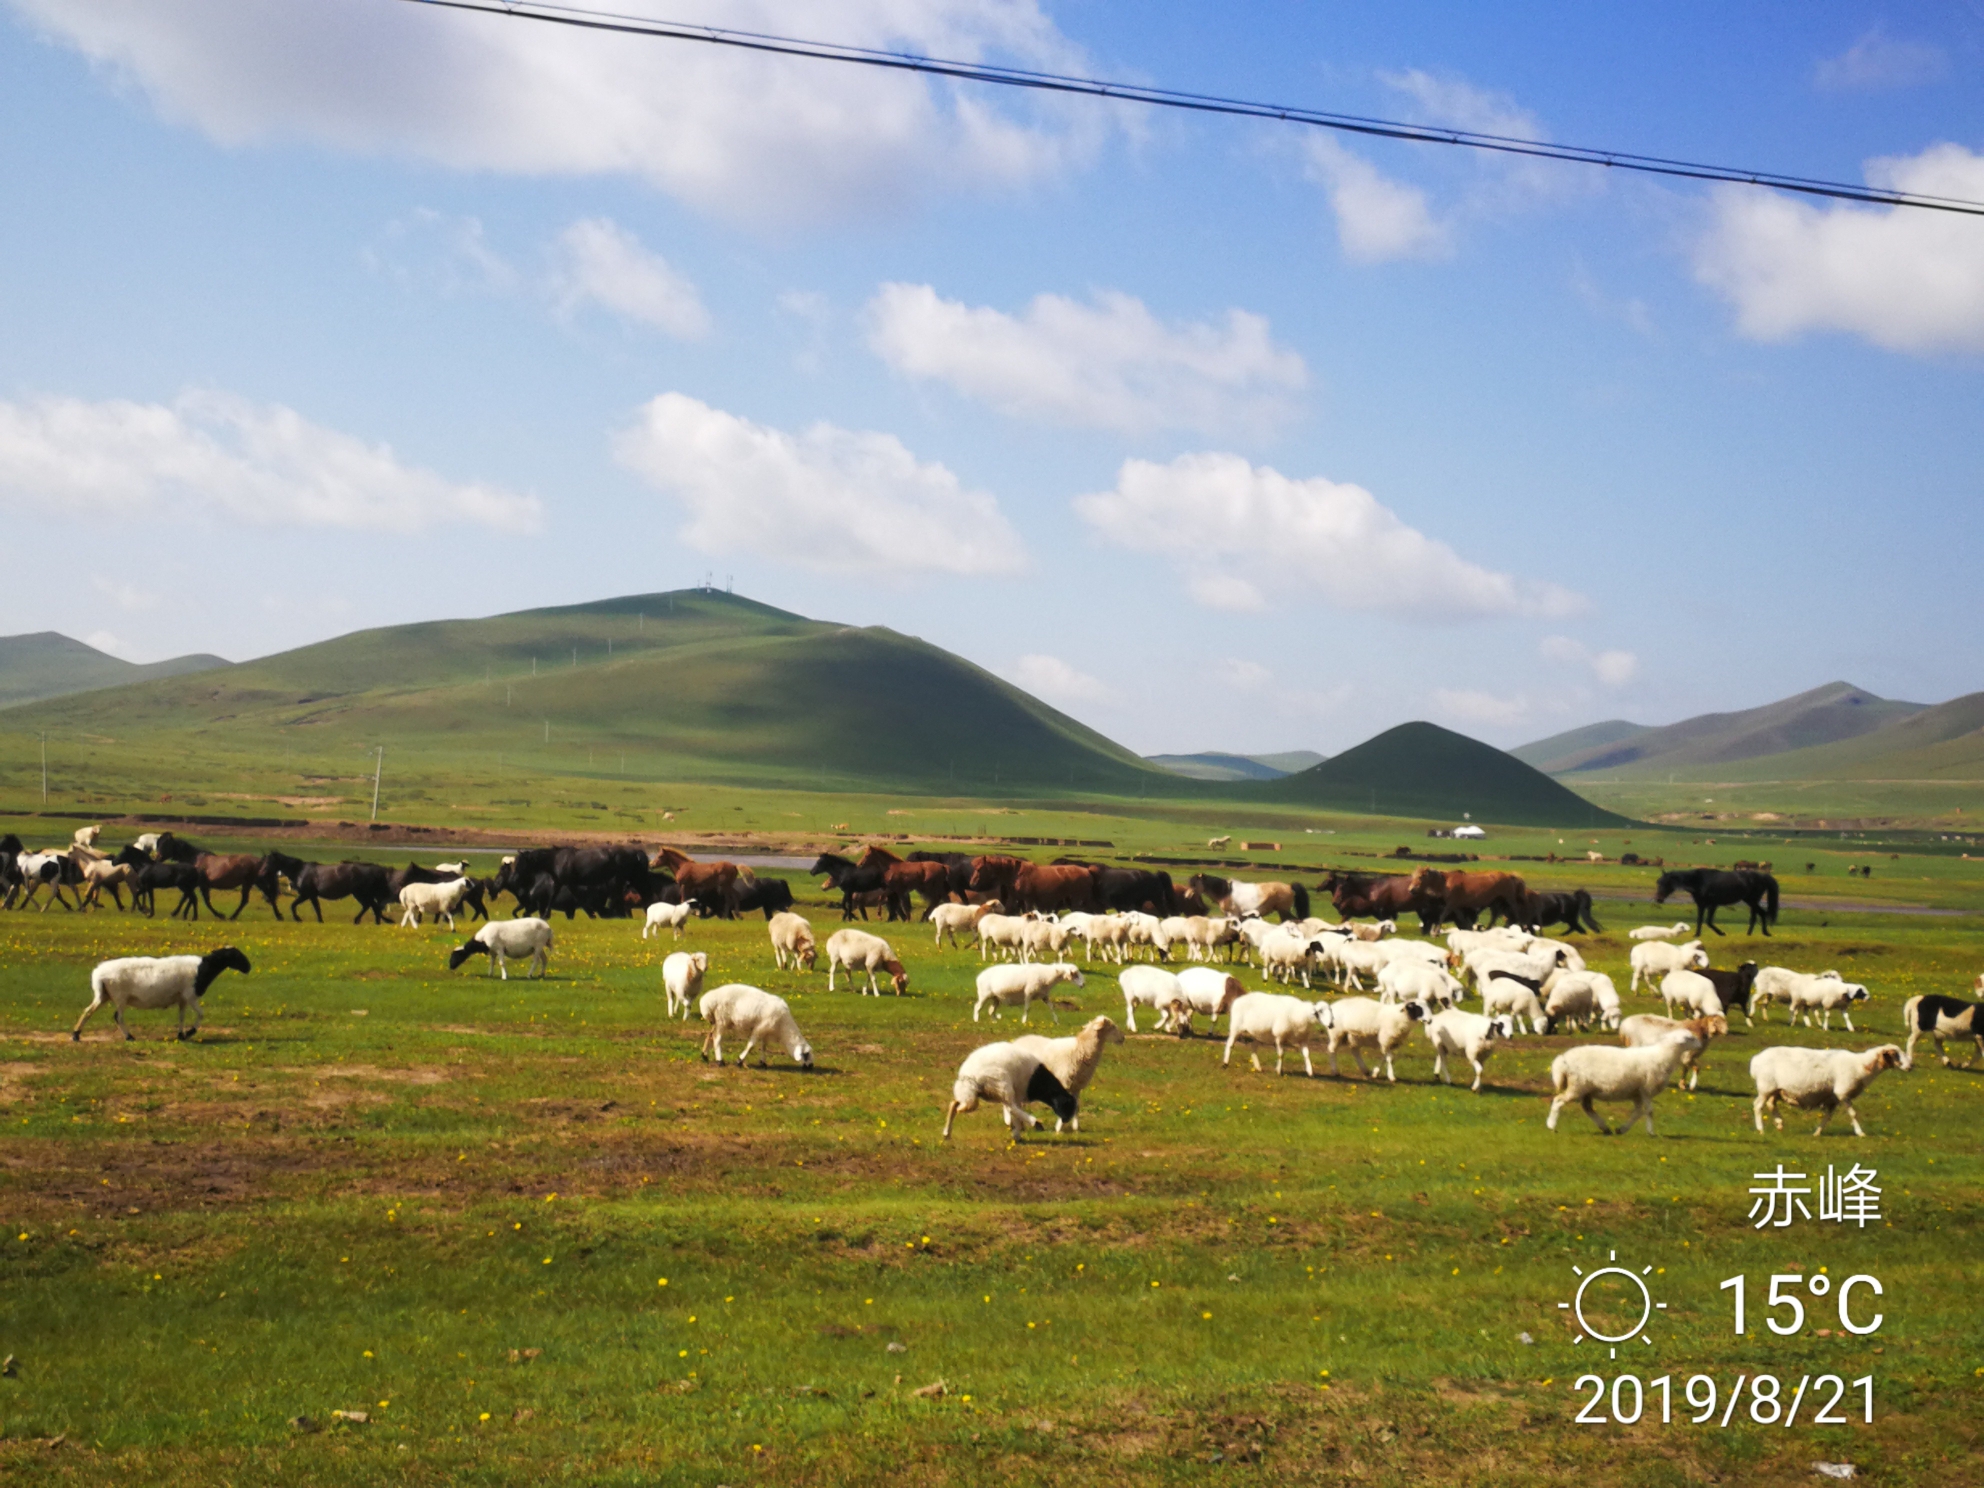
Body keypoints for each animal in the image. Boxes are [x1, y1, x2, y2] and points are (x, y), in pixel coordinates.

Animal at [72, 948, 251, 1039]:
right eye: (235, 955)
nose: (249, 967)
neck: (204, 968)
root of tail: (98, 974)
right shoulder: (190, 996)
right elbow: (201, 1014)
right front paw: (191, 1032)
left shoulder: (182, 999)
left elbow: (181, 1017)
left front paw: (181, 1034)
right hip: (120, 997)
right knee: (118, 1017)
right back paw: (129, 1036)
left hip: (104, 995)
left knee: (88, 1011)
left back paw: (76, 1034)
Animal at [940, 1039, 1079, 1150]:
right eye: (1067, 1105)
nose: (1066, 1120)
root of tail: (969, 1075)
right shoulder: (1018, 1093)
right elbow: (1014, 1111)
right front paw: (1019, 1132)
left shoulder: (1017, 1096)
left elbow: (1016, 1113)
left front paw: (1017, 1134)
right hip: (1002, 1085)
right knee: (1009, 1107)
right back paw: (1035, 1123)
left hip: (970, 1094)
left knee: (954, 1104)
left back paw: (947, 1133)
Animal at [1547, 1031, 1706, 1134]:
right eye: (1690, 1038)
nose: (1701, 1044)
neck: (1664, 1056)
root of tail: (1563, 1059)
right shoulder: (1646, 1089)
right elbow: (1649, 1111)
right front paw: (1651, 1132)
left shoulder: (1637, 1093)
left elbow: (1638, 1112)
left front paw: (1622, 1129)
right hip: (1577, 1085)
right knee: (1558, 1100)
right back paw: (1551, 1125)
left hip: (1586, 1089)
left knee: (1587, 1108)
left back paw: (1605, 1128)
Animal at [1642, 868, 1785, 936]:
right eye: (1658, 882)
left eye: (1666, 883)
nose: (1658, 899)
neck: (1699, 881)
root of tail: (1762, 876)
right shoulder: (1701, 904)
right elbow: (1700, 920)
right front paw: (1696, 934)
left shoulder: (1712, 904)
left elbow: (1708, 921)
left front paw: (1721, 933)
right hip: (1750, 901)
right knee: (1757, 914)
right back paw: (1751, 934)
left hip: (1752, 900)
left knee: (1761, 913)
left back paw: (1764, 933)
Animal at [1753, 1047, 1904, 1142]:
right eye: (1895, 1054)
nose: (1908, 1066)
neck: (1861, 1065)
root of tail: (1755, 1060)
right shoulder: (1842, 1092)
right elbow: (1853, 1114)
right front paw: (1860, 1133)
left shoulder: (1833, 1099)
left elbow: (1827, 1117)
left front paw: (1817, 1133)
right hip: (1765, 1087)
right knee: (1758, 1106)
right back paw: (1761, 1129)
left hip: (1775, 1090)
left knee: (1771, 1104)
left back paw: (1779, 1124)